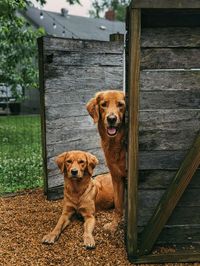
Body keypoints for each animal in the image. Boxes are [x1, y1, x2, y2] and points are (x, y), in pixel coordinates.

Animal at [86, 89, 126, 231]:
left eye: (120, 105)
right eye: (103, 105)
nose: (111, 119)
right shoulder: (117, 177)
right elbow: (118, 206)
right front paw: (114, 225)